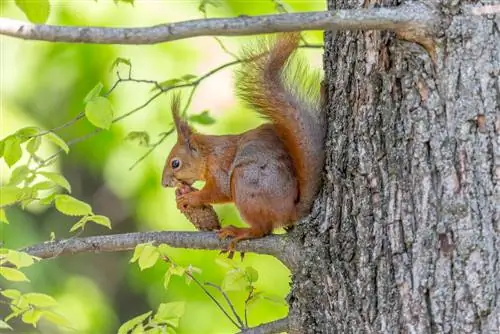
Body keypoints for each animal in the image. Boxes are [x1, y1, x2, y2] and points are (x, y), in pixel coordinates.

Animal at [162, 32, 326, 249]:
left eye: (175, 163)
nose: (164, 184)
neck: (208, 153)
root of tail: (290, 210)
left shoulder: (220, 168)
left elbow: (219, 192)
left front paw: (191, 197)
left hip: (244, 183)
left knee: (262, 230)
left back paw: (239, 231)